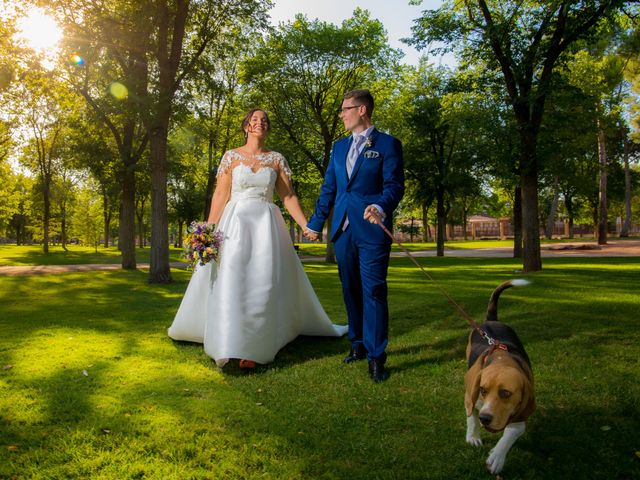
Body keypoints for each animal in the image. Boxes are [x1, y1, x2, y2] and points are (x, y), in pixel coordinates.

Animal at [464, 280, 536, 474]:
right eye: (482, 390)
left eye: (506, 393)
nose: (485, 418)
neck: (502, 359)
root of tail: (491, 321)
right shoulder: (472, 396)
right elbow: (471, 416)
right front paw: (473, 437)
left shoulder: (520, 415)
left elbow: (511, 433)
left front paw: (497, 456)